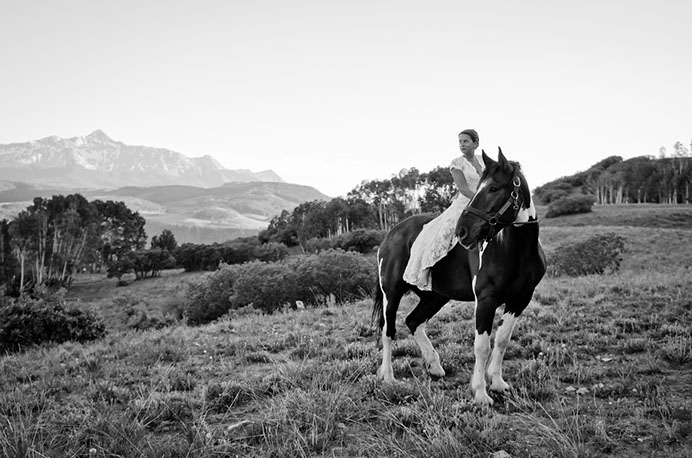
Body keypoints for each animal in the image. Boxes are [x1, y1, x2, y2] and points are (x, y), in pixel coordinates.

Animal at [374, 148, 548, 406]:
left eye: (493, 188)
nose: (462, 231)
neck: (515, 250)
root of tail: (390, 234)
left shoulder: (520, 300)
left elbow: (502, 340)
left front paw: (498, 383)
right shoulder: (486, 300)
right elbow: (482, 346)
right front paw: (481, 392)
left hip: (434, 297)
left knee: (414, 322)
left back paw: (434, 366)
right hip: (392, 294)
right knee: (388, 331)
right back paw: (388, 377)